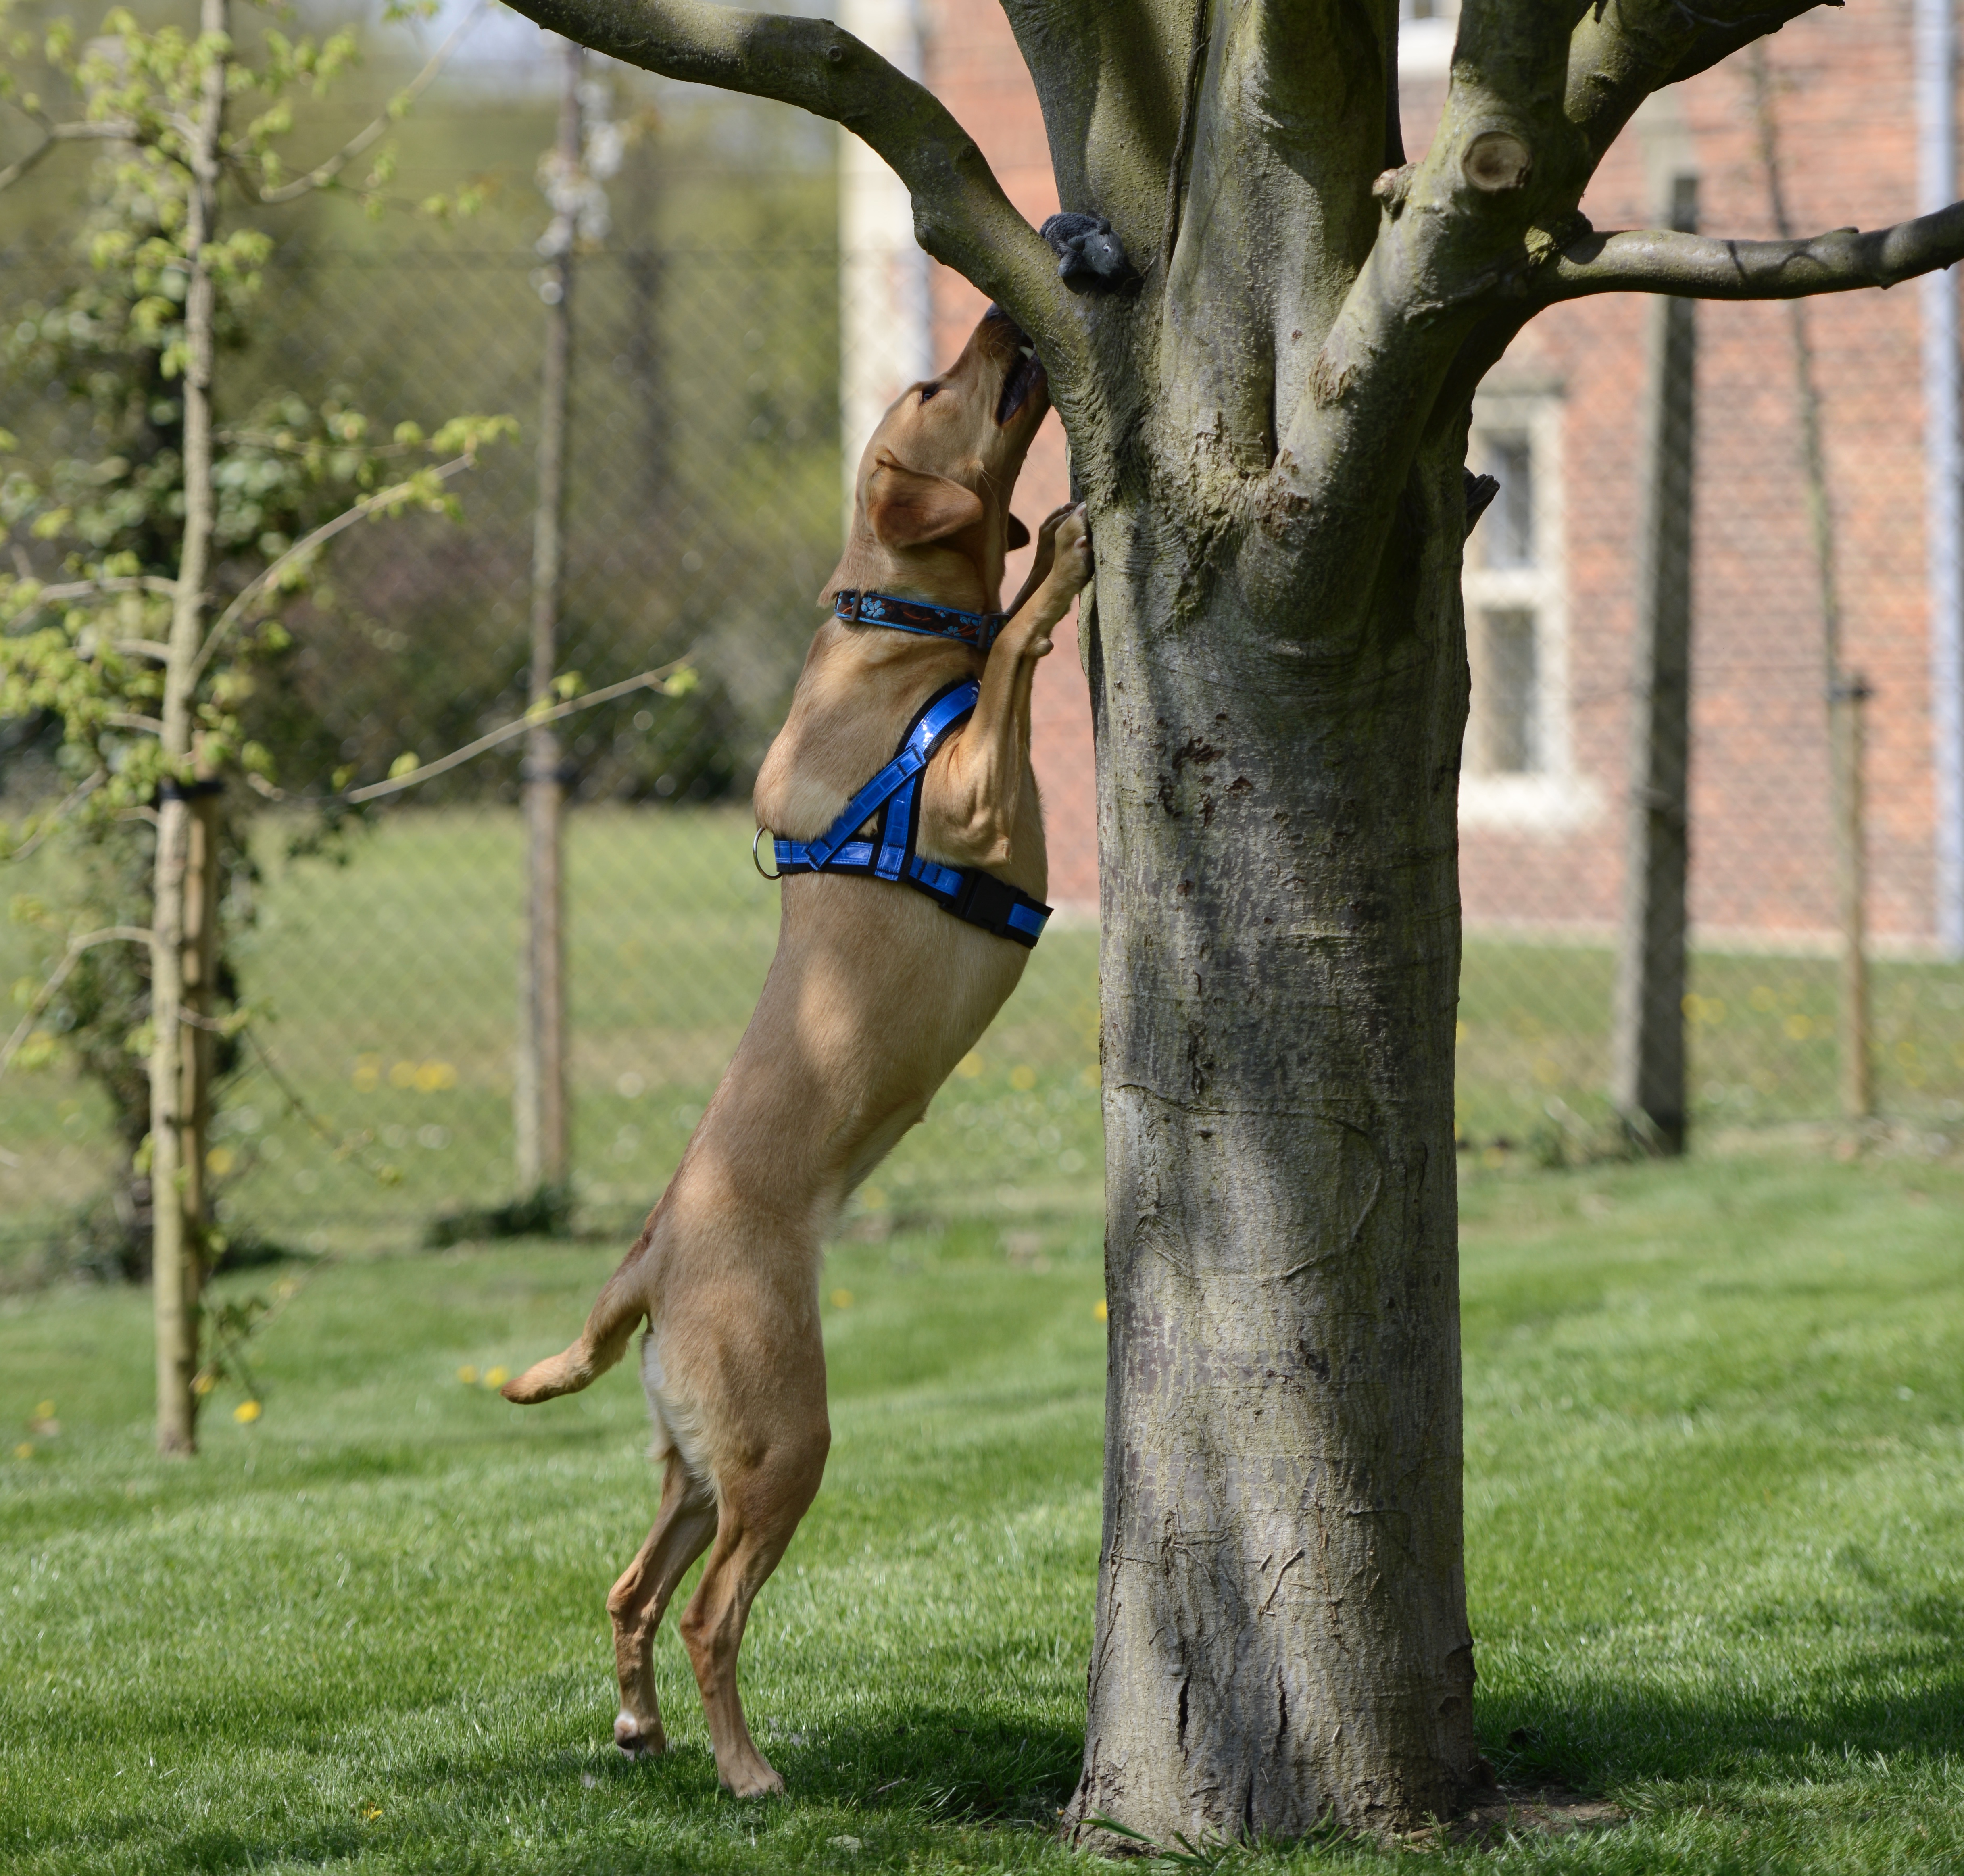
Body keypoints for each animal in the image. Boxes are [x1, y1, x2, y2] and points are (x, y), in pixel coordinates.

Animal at [502, 312, 1092, 1807]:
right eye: (935, 386)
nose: (1004, 313)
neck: (892, 636)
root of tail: (651, 1254)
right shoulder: (970, 796)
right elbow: (1014, 650)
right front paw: (1061, 560)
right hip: (785, 1437)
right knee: (710, 1612)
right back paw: (747, 1770)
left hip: (698, 1458)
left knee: (629, 1591)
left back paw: (642, 1729)